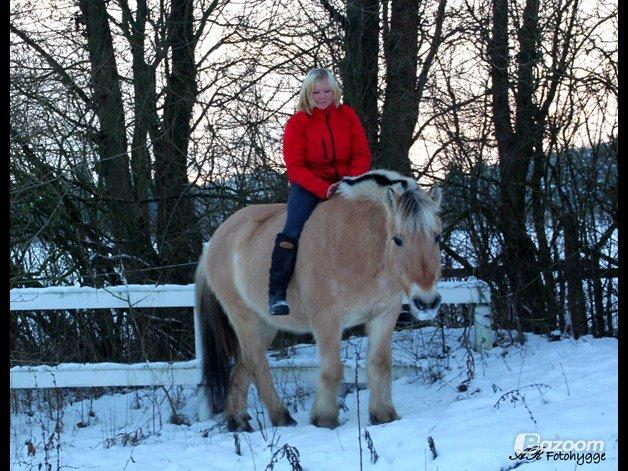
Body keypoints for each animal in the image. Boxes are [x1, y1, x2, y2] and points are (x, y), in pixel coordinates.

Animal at [195, 170, 442, 432]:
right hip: (243, 317)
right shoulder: (327, 320)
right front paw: (324, 418)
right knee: (256, 363)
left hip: (265, 323)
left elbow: (380, 363)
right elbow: (332, 369)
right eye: (397, 239)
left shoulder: (384, 315)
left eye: (437, 237)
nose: (427, 302)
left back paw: (239, 420)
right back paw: (280, 416)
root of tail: (215, 240)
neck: (360, 246)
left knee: (244, 364)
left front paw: (384, 415)